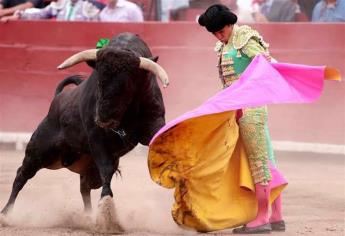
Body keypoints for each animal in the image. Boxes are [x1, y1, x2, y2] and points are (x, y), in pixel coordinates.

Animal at [0, 32, 169, 230]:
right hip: (40, 152)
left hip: (86, 166)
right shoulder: (96, 137)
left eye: (127, 86)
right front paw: (106, 212)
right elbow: (106, 169)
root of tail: (58, 99)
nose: (103, 119)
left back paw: (88, 217)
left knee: (84, 187)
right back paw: (5, 214)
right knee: (22, 175)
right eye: (99, 82)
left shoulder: (154, 125)